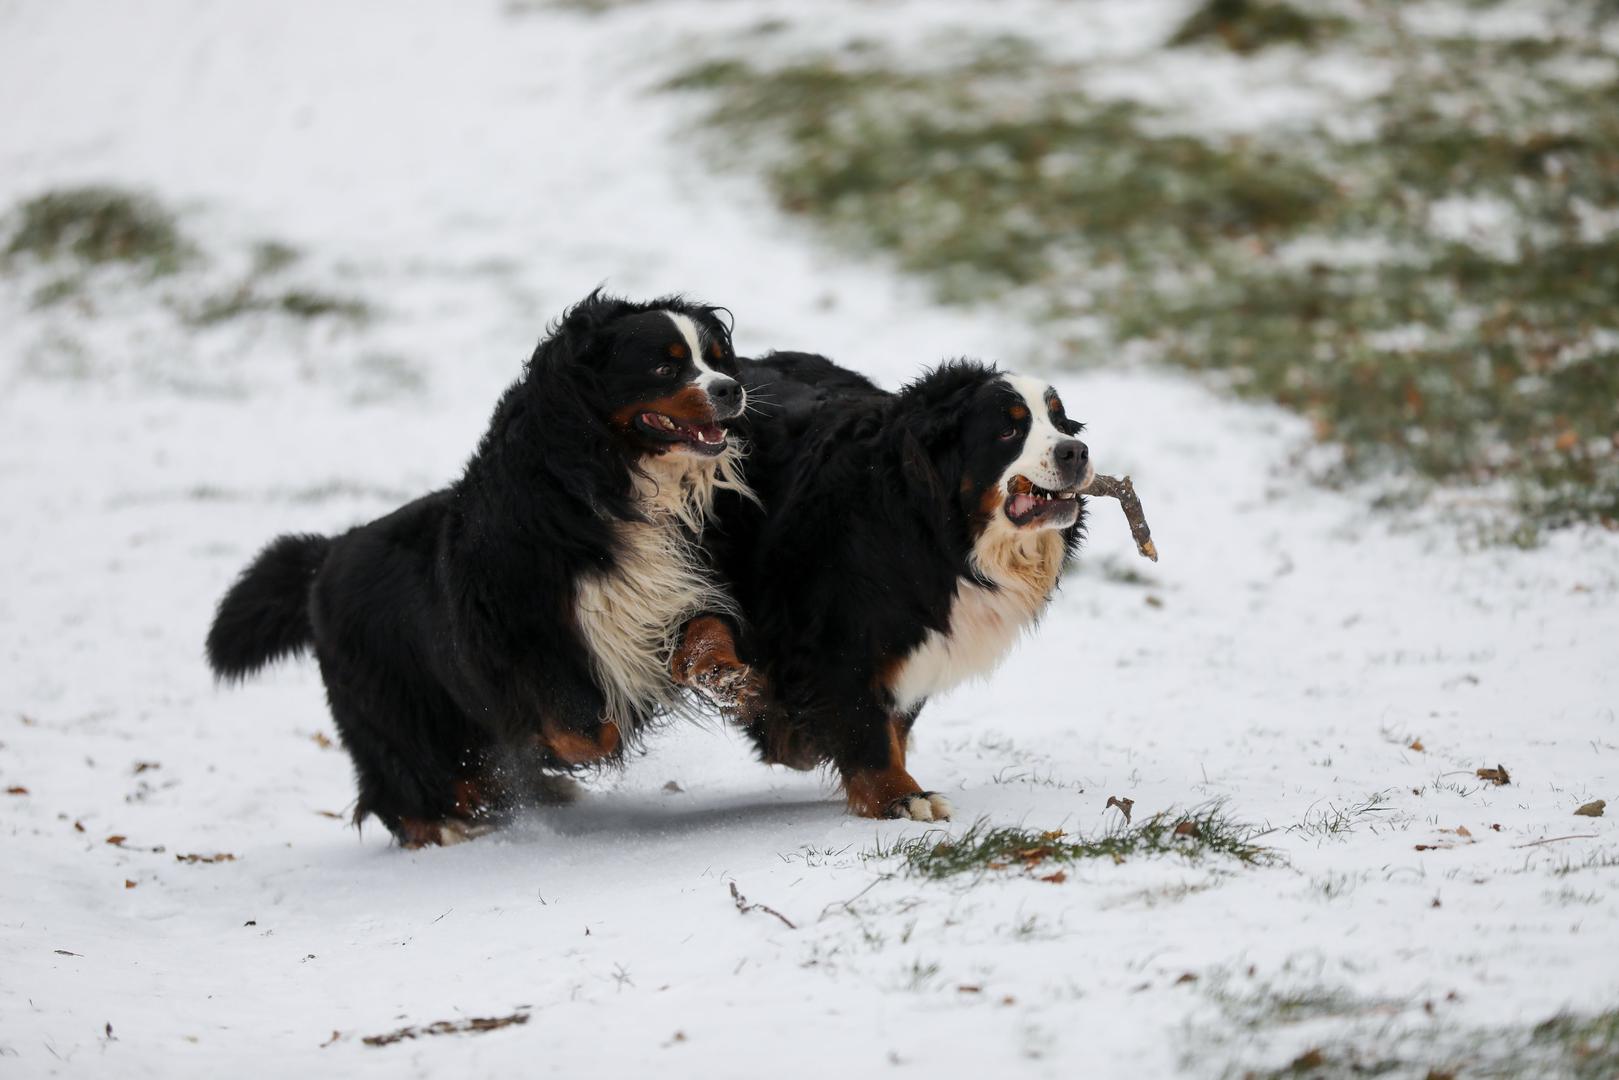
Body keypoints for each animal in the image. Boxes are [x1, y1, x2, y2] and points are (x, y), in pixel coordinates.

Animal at [205, 291, 754, 848]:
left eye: (715, 359)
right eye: (665, 367)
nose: (731, 389)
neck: (612, 484)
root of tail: (326, 557)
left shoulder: (667, 591)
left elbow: (704, 631)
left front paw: (725, 677)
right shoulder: (526, 637)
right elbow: (583, 727)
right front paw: (567, 744)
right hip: (394, 705)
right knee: (401, 780)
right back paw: (449, 825)